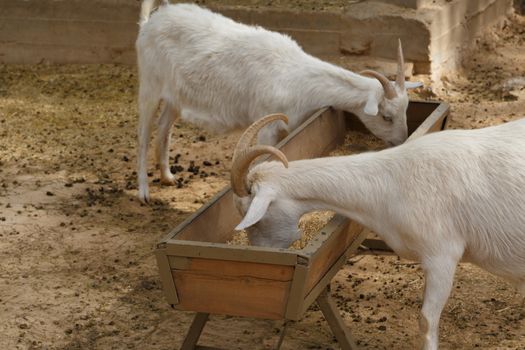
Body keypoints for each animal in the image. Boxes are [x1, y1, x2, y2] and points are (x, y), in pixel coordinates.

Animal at [136, 0, 422, 202]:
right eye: (386, 116)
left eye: (405, 111)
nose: (401, 140)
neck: (299, 78)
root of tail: (151, 21)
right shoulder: (267, 128)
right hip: (149, 86)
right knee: (143, 134)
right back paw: (144, 193)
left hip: (174, 96)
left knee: (164, 128)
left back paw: (167, 177)